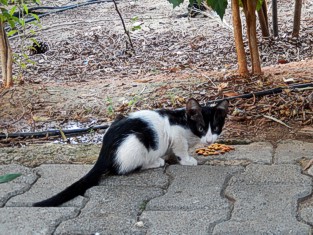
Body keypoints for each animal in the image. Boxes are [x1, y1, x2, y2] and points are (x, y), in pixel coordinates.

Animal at [33, 98, 228, 207]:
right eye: (201, 128)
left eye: (216, 128)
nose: (209, 140)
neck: (185, 121)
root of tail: (104, 149)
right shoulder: (176, 134)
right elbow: (181, 148)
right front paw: (187, 159)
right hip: (136, 140)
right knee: (121, 169)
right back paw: (155, 162)